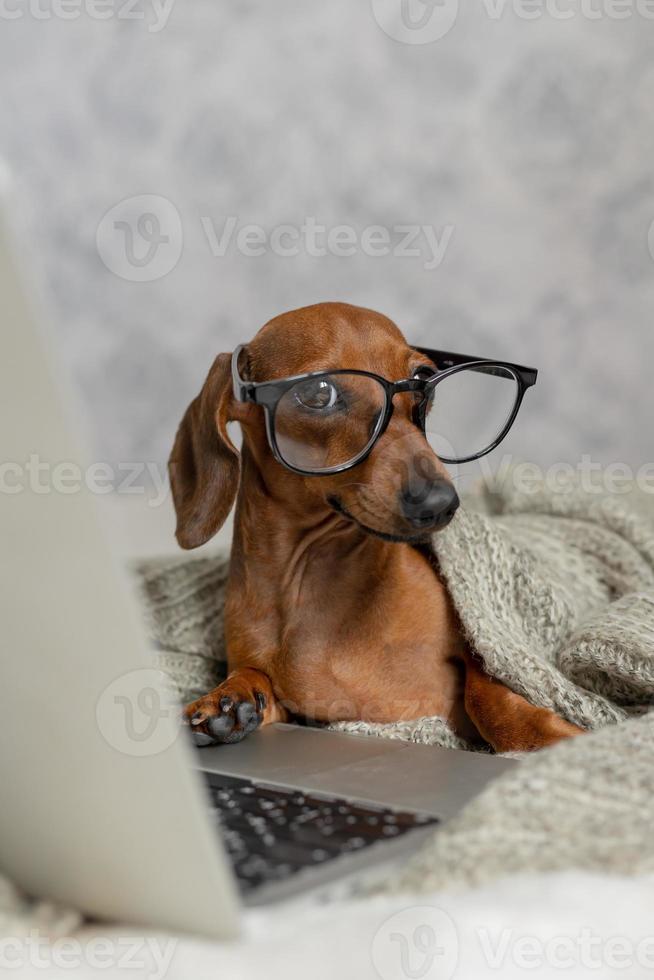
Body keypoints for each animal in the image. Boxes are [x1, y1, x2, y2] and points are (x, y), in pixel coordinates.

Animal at [169, 302, 584, 756]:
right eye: (319, 393)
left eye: (423, 380)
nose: (441, 503)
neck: (307, 584)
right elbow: (255, 679)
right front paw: (229, 697)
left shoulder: (479, 648)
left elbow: (486, 689)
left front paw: (548, 737)